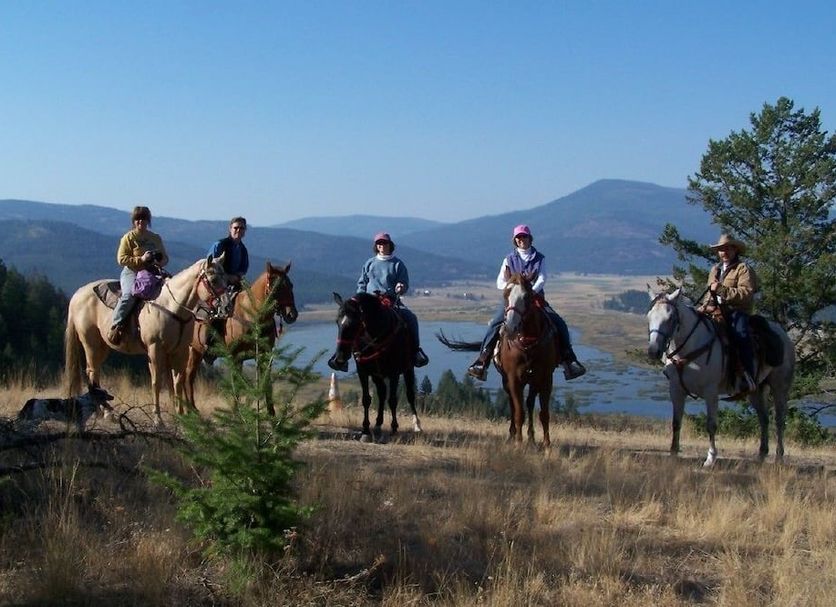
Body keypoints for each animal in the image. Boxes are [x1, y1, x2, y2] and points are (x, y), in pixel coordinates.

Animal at [63, 255, 229, 425]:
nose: (226, 306)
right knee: (92, 372)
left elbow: (177, 381)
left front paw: (180, 415)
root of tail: (77, 294)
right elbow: (157, 382)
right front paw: (158, 418)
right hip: (91, 344)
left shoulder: (180, 351)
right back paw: (103, 412)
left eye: (226, 278)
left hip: (102, 347)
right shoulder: (155, 349)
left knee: (94, 372)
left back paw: (105, 412)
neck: (172, 307)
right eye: (214, 279)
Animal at [184, 261, 298, 414]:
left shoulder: (264, 355)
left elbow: (266, 383)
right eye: (277, 287)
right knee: (188, 376)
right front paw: (237, 411)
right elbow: (237, 382)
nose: (292, 314)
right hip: (194, 351)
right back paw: (191, 408)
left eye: (291, 285)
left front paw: (271, 413)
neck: (251, 314)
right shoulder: (235, 356)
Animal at [326, 292, 422, 441]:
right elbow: (366, 399)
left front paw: (394, 428)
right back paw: (377, 425)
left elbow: (393, 400)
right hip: (377, 375)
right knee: (382, 393)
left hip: (408, 369)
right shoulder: (363, 371)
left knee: (409, 395)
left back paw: (416, 425)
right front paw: (366, 430)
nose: (340, 359)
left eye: (355, 324)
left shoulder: (394, 372)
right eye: (337, 322)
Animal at [438, 273, 559, 448]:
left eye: (527, 296)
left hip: (533, 381)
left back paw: (531, 437)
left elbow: (544, 413)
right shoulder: (513, 378)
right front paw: (518, 443)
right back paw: (513, 436)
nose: (510, 327)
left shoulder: (546, 378)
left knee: (529, 403)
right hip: (507, 380)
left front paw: (547, 445)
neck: (528, 343)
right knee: (513, 404)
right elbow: (518, 411)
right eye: (505, 295)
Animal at [646, 288, 795, 466]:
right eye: (649, 316)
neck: (691, 347)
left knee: (779, 420)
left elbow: (711, 424)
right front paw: (673, 454)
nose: (653, 351)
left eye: (670, 318)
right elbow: (676, 422)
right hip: (756, 390)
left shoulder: (711, 392)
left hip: (780, 386)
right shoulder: (676, 389)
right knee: (764, 419)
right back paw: (761, 455)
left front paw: (710, 458)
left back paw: (779, 457)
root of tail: (783, 334)